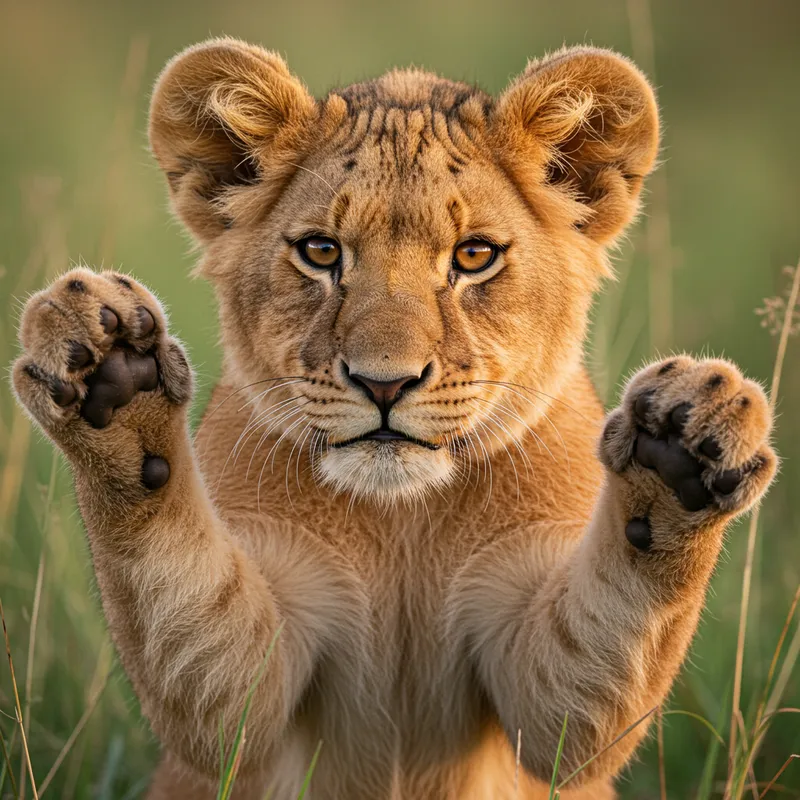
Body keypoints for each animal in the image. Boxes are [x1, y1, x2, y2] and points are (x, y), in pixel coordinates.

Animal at [12, 38, 777, 799]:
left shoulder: (544, 677)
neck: (401, 522)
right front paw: (109, 369)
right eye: (321, 251)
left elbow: (594, 673)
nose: (386, 382)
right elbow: (193, 632)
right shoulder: (245, 686)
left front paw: (684, 437)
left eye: (474, 255)